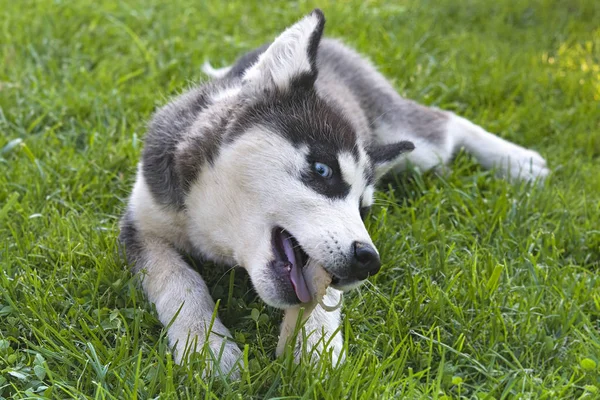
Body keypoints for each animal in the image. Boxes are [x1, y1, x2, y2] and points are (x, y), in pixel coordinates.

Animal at [118, 9, 548, 378]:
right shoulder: (141, 223)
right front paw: (206, 348)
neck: (217, 232)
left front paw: (314, 348)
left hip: (413, 143)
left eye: (364, 209)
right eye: (323, 170)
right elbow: (179, 279)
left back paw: (520, 162)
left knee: (443, 122)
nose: (369, 261)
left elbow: (324, 295)